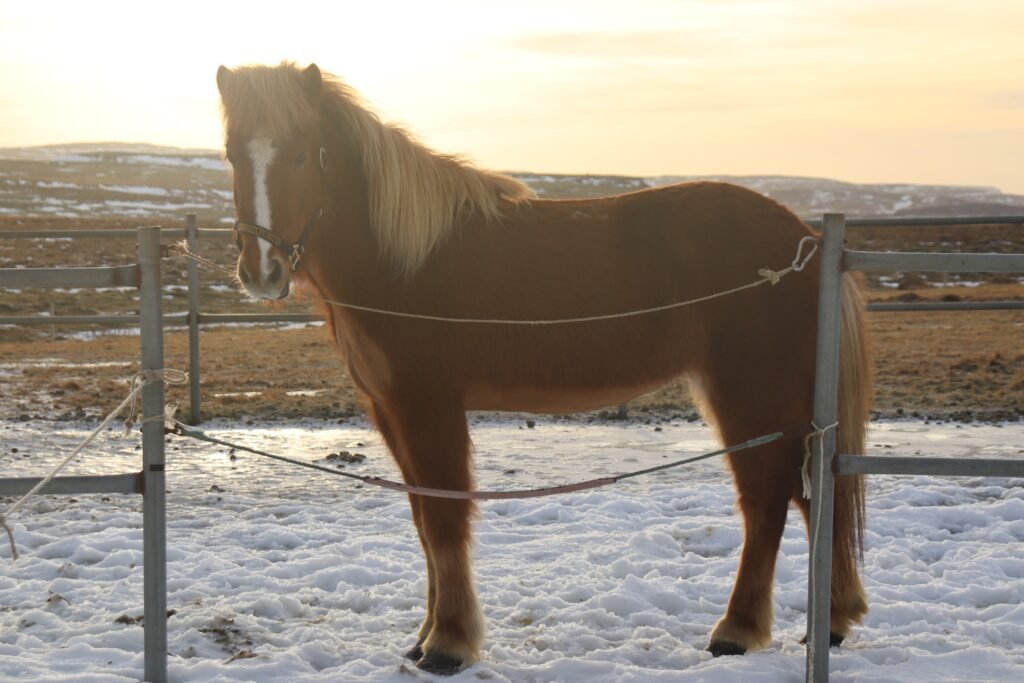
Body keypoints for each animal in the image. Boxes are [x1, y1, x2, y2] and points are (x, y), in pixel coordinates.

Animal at [215, 60, 872, 675]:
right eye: (230, 154)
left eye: (303, 153)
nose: (262, 271)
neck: (402, 260)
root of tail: (807, 241)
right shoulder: (389, 409)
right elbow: (423, 522)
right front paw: (425, 636)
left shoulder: (430, 405)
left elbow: (445, 519)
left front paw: (449, 645)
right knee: (812, 500)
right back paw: (829, 623)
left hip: (750, 396)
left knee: (766, 503)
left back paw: (736, 631)